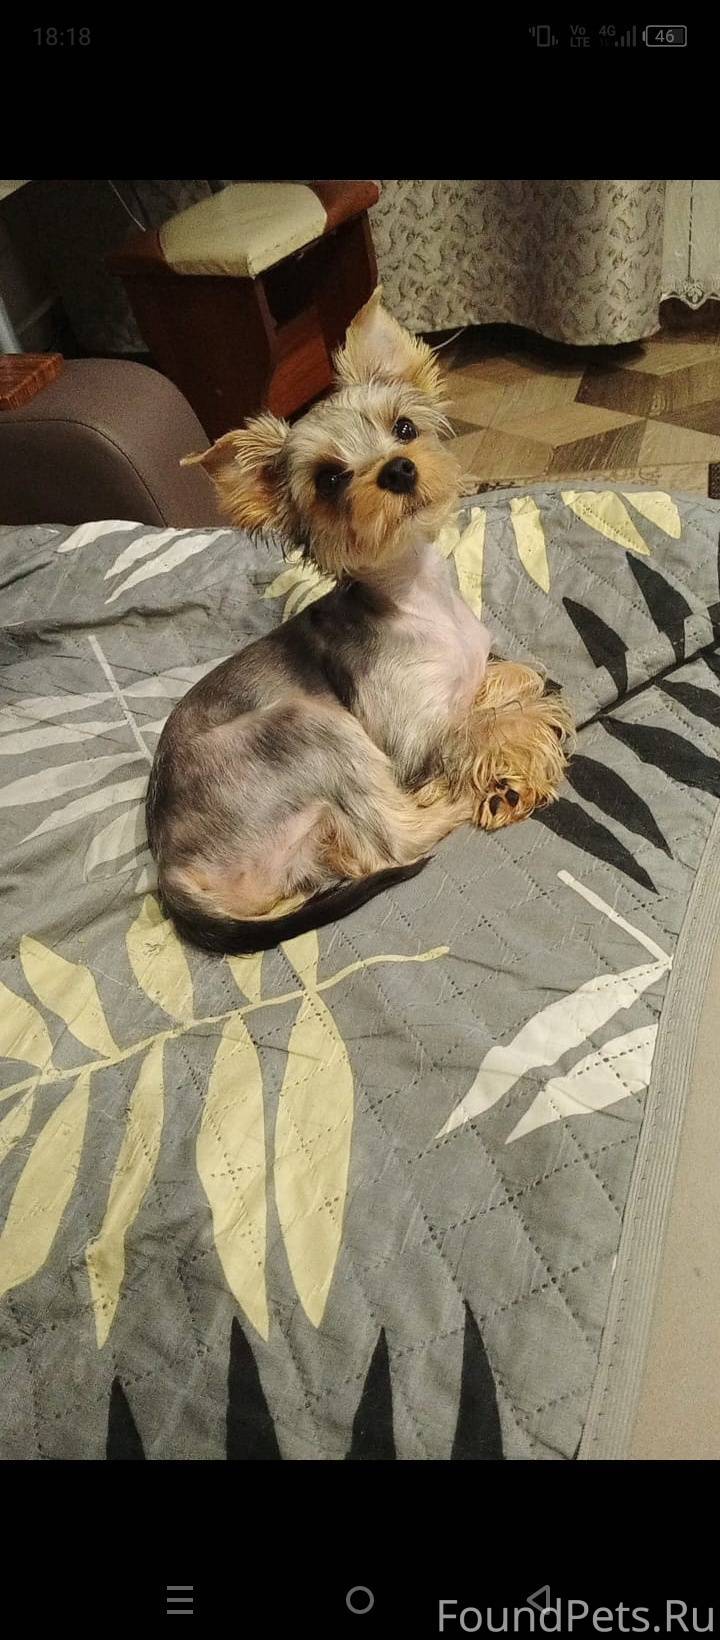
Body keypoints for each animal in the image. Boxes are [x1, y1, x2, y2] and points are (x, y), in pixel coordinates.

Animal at [146, 290, 574, 954]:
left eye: (405, 428)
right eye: (329, 479)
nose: (398, 469)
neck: (418, 598)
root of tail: (173, 874)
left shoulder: (476, 661)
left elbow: (516, 672)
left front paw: (519, 697)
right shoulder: (406, 743)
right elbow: (476, 726)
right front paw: (520, 738)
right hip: (307, 726)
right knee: (395, 841)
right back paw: (456, 800)